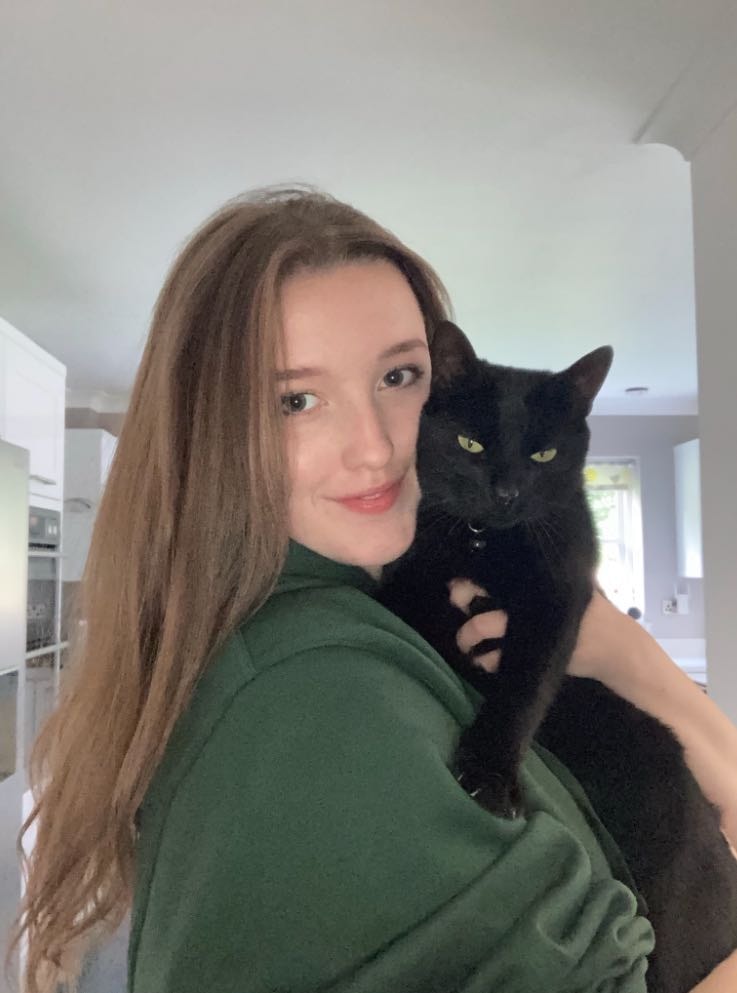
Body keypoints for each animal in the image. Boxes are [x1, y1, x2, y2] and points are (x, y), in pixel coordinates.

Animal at [378, 320, 737, 993]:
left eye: (542, 456)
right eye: (470, 443)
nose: (506, 491)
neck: (486, 544)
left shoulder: (557, 599)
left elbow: (521, 690)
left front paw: (489, 777)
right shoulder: (412, 572)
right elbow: (412, 609)